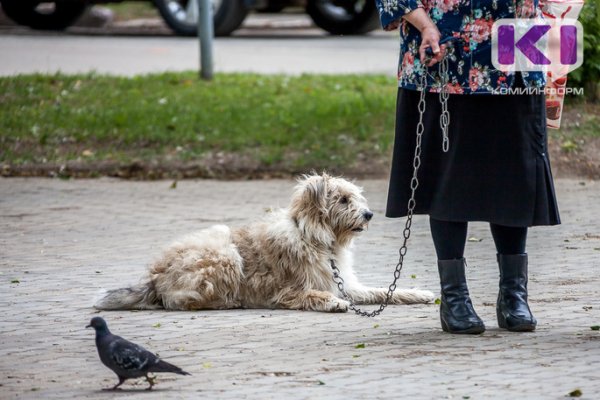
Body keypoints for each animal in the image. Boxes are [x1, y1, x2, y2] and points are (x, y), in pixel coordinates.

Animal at [94, 174, 434, 312]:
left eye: (356, 197)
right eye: (342, 200)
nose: (369, 214)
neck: (314, 238)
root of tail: (153, 277)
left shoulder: (347, 284)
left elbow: (383, 291)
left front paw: (417, 293)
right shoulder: (286, 292)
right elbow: (311, 295)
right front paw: (332, 303)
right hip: (225, 253)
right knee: (182, 301)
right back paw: (228, 300)